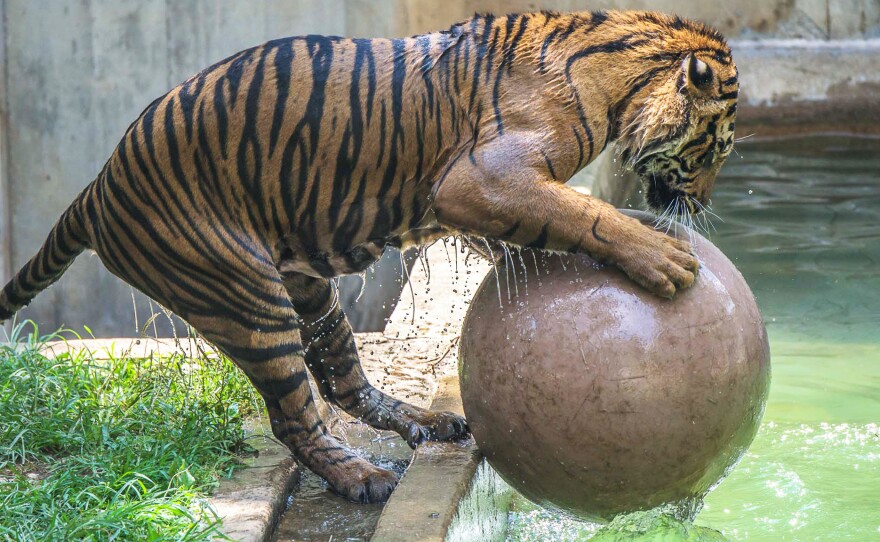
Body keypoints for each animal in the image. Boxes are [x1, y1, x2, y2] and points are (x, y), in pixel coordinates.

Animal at [1, 10, 736, 504]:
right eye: (716, 148)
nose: (701, 205)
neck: (620, 77)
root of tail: (95, 189)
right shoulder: (480, 179)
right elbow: (585, 214)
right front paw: (663, 259)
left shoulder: (475, 199)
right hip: (248, 299)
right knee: (293, 415)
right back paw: (361, 476)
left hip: (308, 292)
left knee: (341, 381)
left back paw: (430, 423)